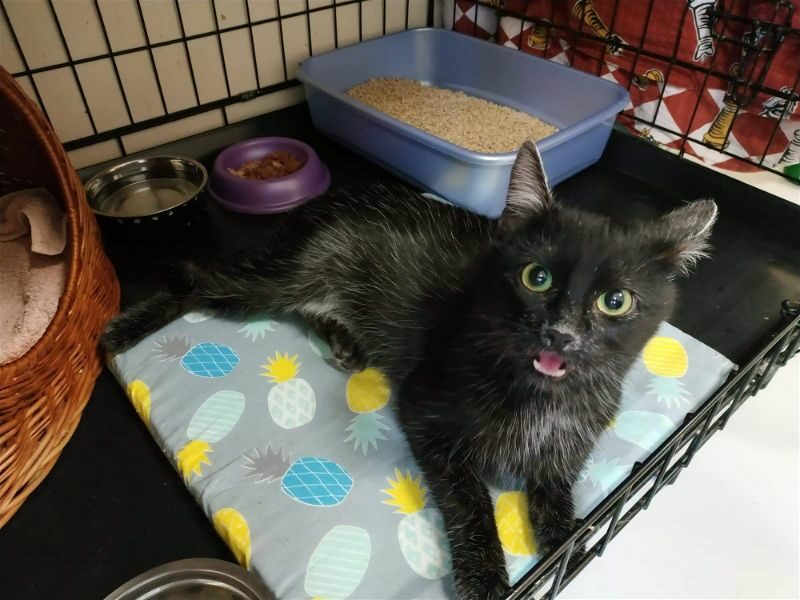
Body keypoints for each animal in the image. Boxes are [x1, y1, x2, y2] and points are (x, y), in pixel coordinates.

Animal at [102, 141, 717, 599]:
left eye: (616, 302)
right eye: (535, 277)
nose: (560, 333)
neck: (542, 396)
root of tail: (324, 203)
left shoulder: (565, 450)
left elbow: (561, 505)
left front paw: (570, 540)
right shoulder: (425, 411)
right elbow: (470, 498)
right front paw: (485, 575)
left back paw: (344, 340)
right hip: (279, 276)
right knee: (205, 282)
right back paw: (122, 330)